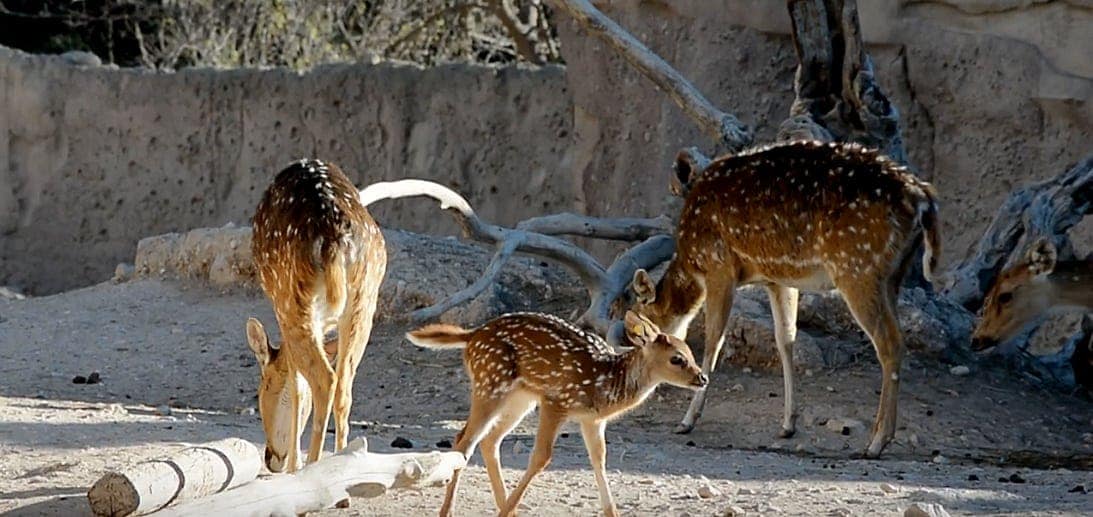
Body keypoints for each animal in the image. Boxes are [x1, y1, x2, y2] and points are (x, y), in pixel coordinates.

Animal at [245, 158, 386, 473]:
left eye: (261, 389)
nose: (271, 458)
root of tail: (335, 242)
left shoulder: (281, 308)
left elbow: (297, 385)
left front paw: (294, 464)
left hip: (294, 301)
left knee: (325, 379)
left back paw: (311, 465)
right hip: (364, 302)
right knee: (344, 384)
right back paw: (344, 461)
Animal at [406, 310, 707, 517]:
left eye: (691, 352)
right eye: (677, 359)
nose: (702, 378)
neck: (606, 383)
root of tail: (472, 335)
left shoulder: (592, 420)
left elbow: (599, 459)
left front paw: (612, 512)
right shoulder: (557, 401)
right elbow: (541, 457)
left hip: (520, 397)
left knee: (487, 440)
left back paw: (509, 509)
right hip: (490, 383)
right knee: (465, 442)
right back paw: (453, 511)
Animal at [626, 139, 941, 458]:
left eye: (640, 327)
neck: (692, 262)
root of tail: (923, 199)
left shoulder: (720, 267)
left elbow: (715, 339)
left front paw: (687, 420)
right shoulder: (776, 279)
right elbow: (786, 339)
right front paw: (788, 424)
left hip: (857, 267)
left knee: (889, 343)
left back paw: (877, 442)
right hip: (892, 275)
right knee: (896, 338)